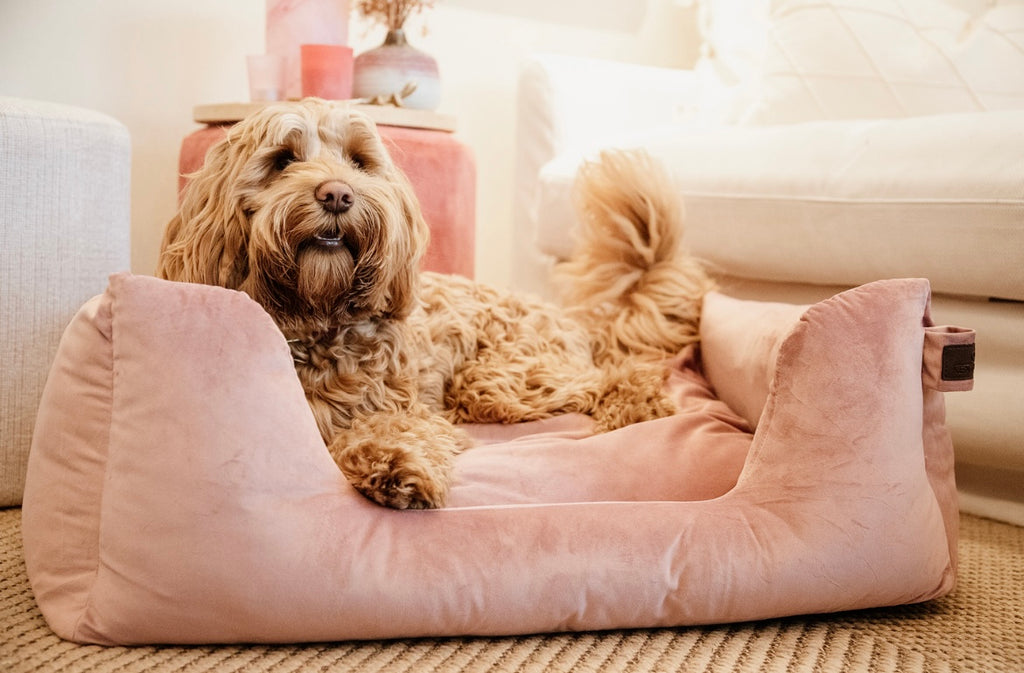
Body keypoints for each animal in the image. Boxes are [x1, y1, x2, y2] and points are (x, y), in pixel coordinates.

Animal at [157, 98, 712, 510]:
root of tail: (569, 316)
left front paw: (396, 464)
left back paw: (640, 405)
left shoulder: (401, 408)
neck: (317, 315)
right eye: (282, 161)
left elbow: (395, 428)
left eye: (359, 161)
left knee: (616, 374)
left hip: (498, 378)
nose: (337, 194)